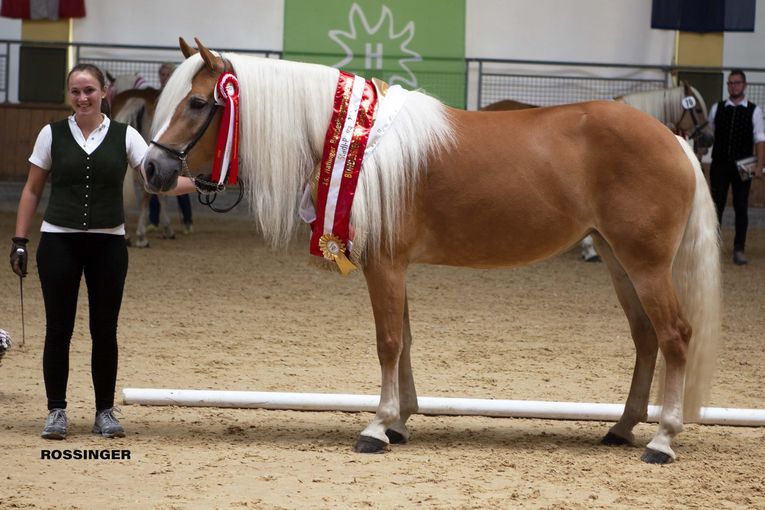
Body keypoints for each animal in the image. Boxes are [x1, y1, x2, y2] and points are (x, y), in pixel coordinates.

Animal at [140, 37, 720, 464]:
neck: (354, 145)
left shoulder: (384, 265)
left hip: (645, 264)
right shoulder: (393, 267)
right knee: (646, 338)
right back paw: (622, 427)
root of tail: (673, 140)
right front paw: (399, 421)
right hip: (620, 260)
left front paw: (377, 426)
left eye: (198, 103)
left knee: (675, 335)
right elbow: (406, 341)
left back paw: (662, 439)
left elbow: (389, 342)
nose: (152, 169)